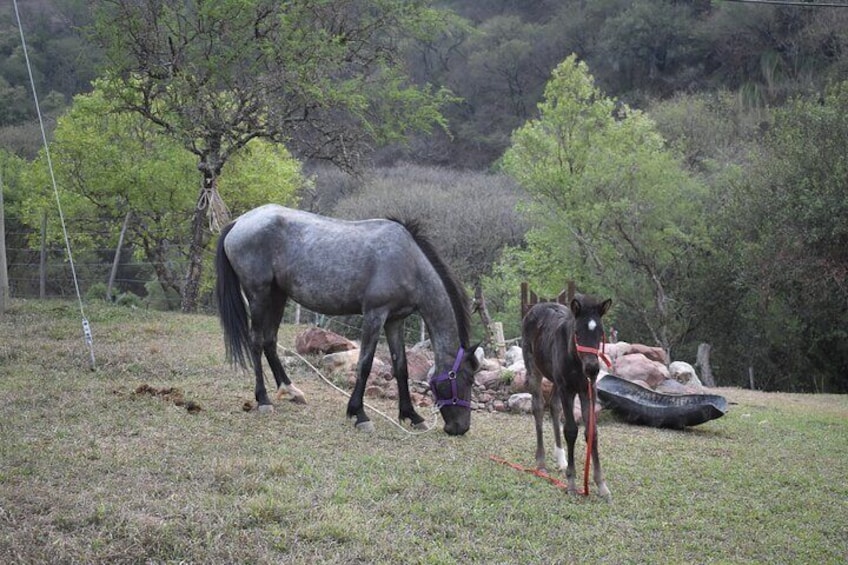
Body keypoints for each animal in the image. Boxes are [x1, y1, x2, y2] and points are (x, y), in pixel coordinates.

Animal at [214, 205, 476, 434]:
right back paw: (264, 400)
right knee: (257, 342)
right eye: (466, 378)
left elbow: (401, 367)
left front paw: (412, 416)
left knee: (269, 341)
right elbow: (365, 364)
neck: (408, 261)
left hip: (278, 295)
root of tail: (239, 222)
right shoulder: (375, 315)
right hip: (259, 294)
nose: (460, 428)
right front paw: (360, 414)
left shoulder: (394, 320)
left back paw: (291, 391)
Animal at [520, 294, 612, 496]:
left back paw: (561, 459)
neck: (577, 362)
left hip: (555, 380)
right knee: (538, 407)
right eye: (577, 332)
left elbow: (592, 432)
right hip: (534, 369)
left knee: (554, 407)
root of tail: (535, 307)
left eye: (600, 333)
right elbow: (571, 430)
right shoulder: (567, 389)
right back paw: (541, 463)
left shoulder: (587, 390)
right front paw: (571, 483)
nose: (592, 369)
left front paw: (601, 485)